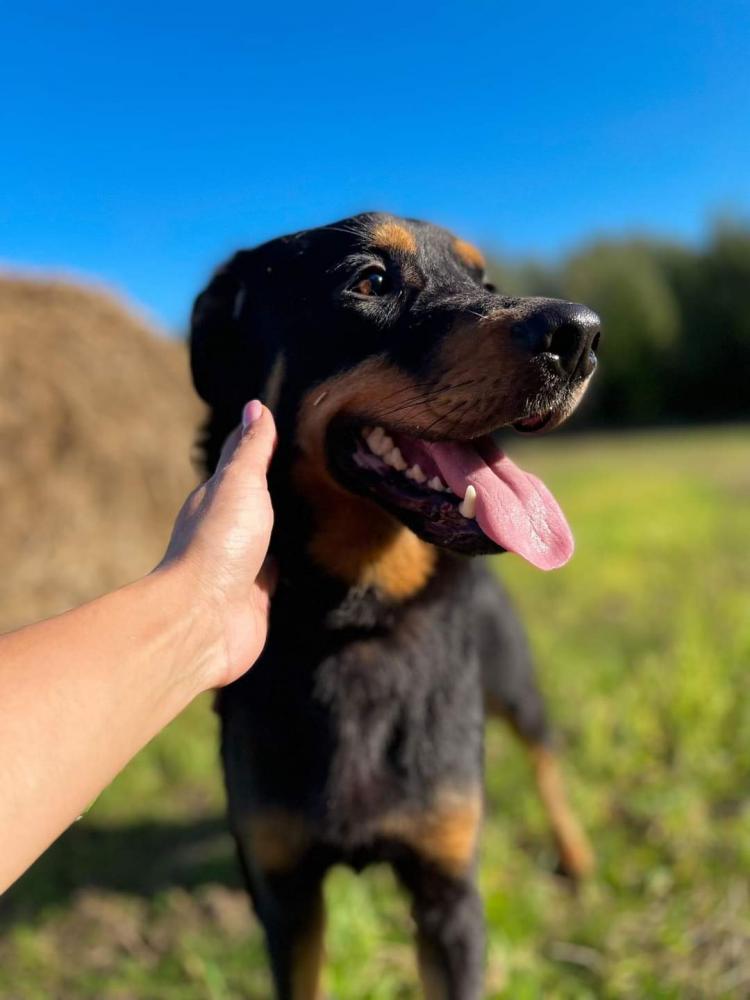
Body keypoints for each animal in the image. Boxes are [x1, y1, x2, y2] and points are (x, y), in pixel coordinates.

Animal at [190, 213, 600, 999]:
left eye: (485, 283)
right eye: (371, 280)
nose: (582, 333)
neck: (360, 619)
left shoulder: (449, 894)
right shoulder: (285, 896)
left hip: (516, 685)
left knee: (547, 760)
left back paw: (576, 854)